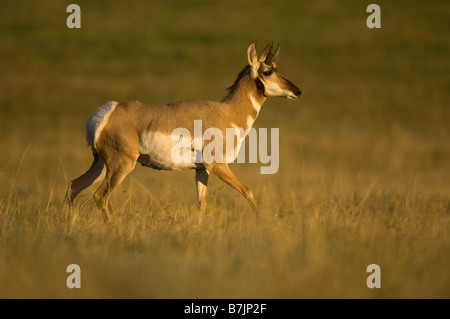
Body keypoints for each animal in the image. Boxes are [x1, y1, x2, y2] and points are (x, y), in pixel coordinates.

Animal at [63, 41, 300, 224]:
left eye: (276, 68)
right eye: (268, 71)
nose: (297, 91)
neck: (228, 112)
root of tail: (109, 112)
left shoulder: (201, 170)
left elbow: (201, 204)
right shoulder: (218, 166)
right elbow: (247, 190)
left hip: (101, 165)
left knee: (73, 186)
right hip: (120, 166)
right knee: (99, 196)